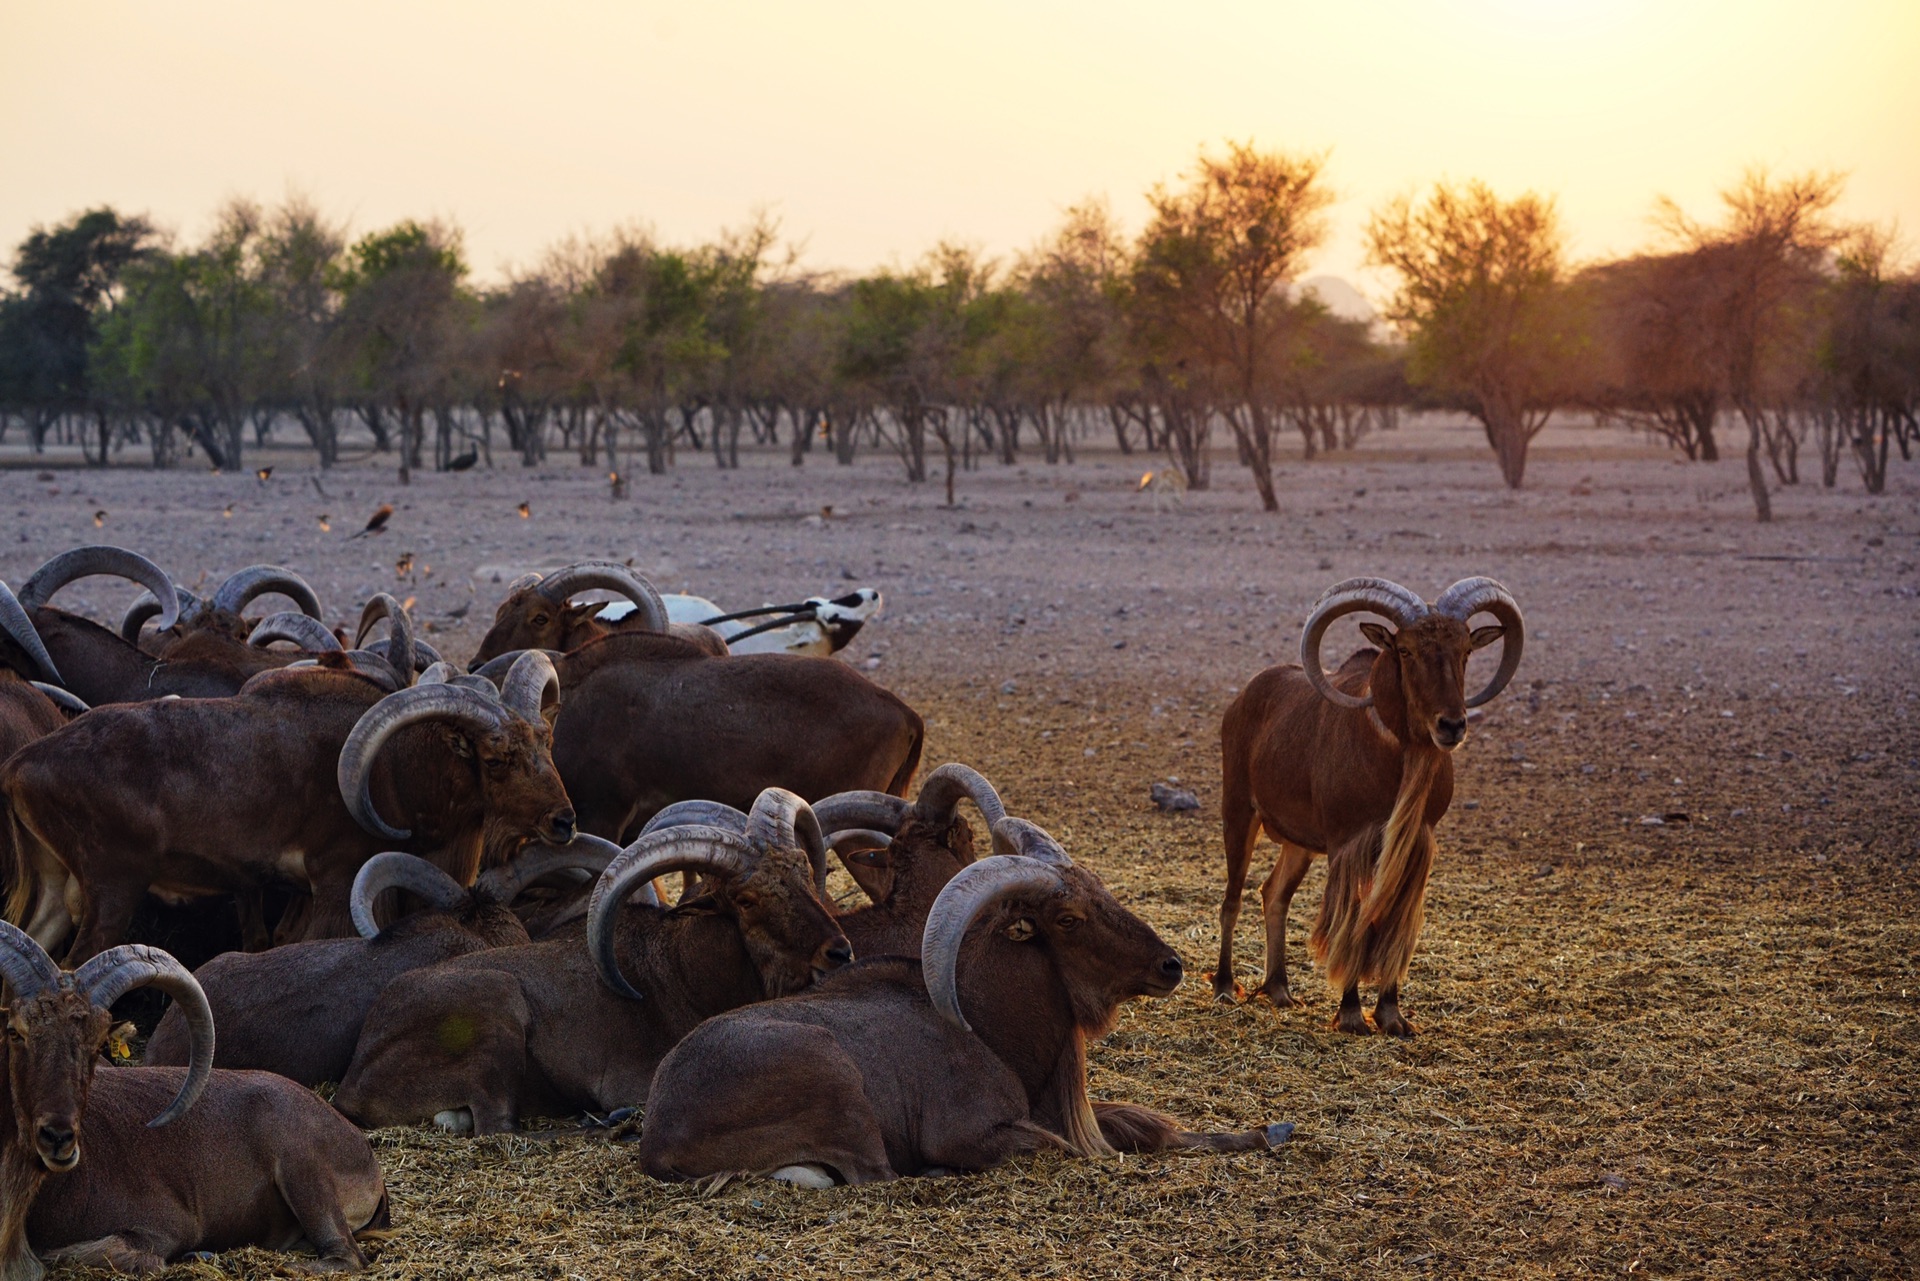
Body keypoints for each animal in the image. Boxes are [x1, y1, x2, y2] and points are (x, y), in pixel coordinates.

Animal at [0, 925, 389, 1275]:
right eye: (14, 1032)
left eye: (96, 1046)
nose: (58, 1138)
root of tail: (363, 1151)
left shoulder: (165, 1225)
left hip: (302, 1165)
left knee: (347, 1256)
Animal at [1213, 576, 1528, 1037]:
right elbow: (1358, 920)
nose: (1451, 725)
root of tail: (1242, 699)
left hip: (1298, 844)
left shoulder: (1412, 847)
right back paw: (1223, 985)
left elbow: (1391, 921)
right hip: (1238, 811)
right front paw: (1350, 1014)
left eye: (1466, 650)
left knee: (1274, 894)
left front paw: (1392, 1015)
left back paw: (1279, 989)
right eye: (1405, 650)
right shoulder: (1349, 843)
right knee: (1232, 899)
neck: (1397, 764)